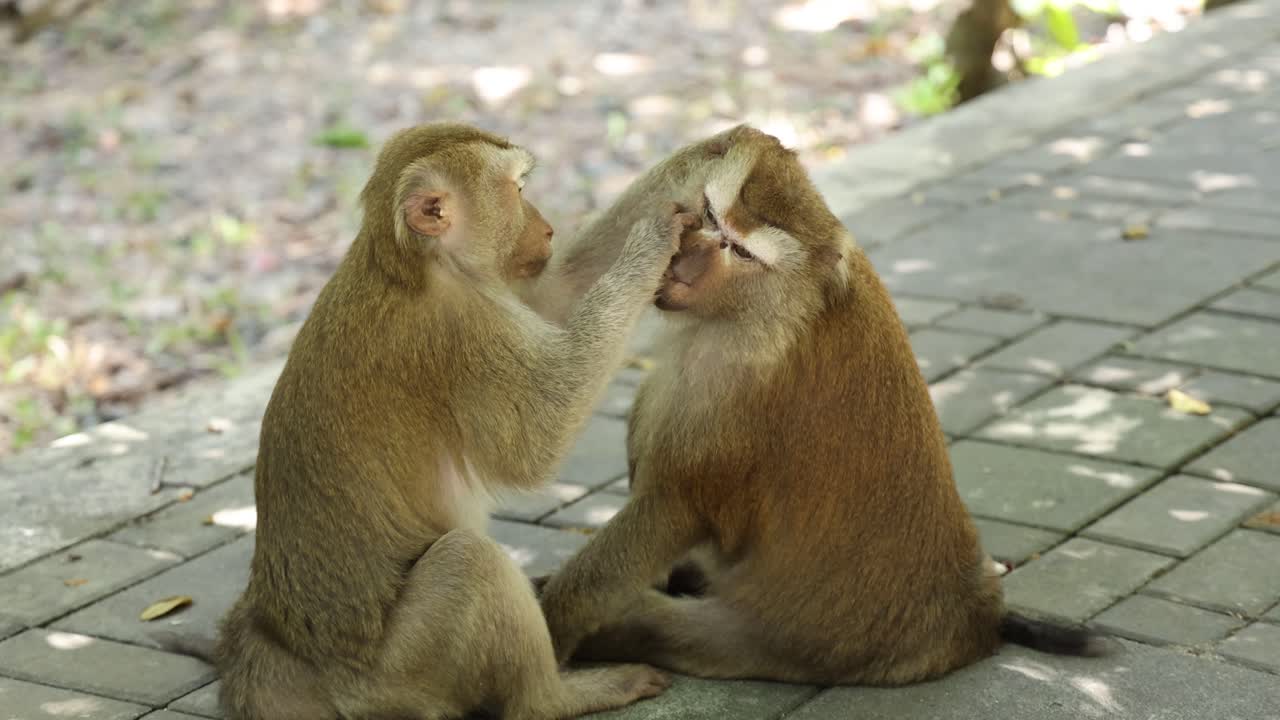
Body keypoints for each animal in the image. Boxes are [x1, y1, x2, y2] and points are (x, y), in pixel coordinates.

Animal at [211, 124, 693, 720]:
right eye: (516, 190)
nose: (547, 228)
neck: (415, 264)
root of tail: (313, 672)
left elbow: (554, 296)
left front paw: (712, 154)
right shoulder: (463, 332)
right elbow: (534, 442)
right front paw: (650, 244)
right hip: (404, 675)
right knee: (469, 562)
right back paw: (555, 696)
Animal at [536, 125, 1109, 687]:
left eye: (741, 253)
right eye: (712, 218)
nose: (683, 264)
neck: (760, 311)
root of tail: (977, 615)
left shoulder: (731, 397)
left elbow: (674, 504)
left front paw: (555, 626)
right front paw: (735, 145)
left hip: (800, 645)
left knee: (683, 631)